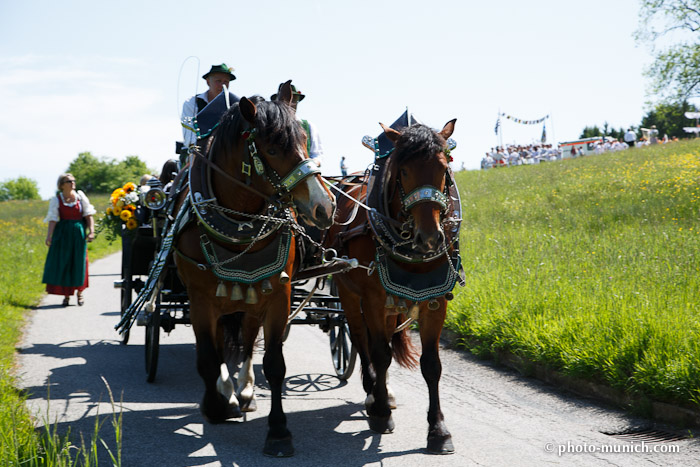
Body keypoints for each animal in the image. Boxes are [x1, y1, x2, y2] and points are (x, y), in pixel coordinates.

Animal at [174, 81, 334, 458]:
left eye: (304, 140)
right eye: (273, 148)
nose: (323, 206)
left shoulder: (277, 294)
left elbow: (274, 364)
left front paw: (278, 432)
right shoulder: (200, 298)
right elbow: (207, 356)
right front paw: (215, 406)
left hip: (249, 297)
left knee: (246, 341)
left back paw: (244, 391)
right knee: (220, 346)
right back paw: (227, 395)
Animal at [326, 119, 462, 456]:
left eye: (444, 168)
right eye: (404, 171)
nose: (430, 238)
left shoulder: (435, 300)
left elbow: (431, 365)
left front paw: (438, 430)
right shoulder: (373, 298)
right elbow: (380, 353)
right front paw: (380, 414)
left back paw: (383, 393)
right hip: (348, 293)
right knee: (361, 339)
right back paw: (374, 394)